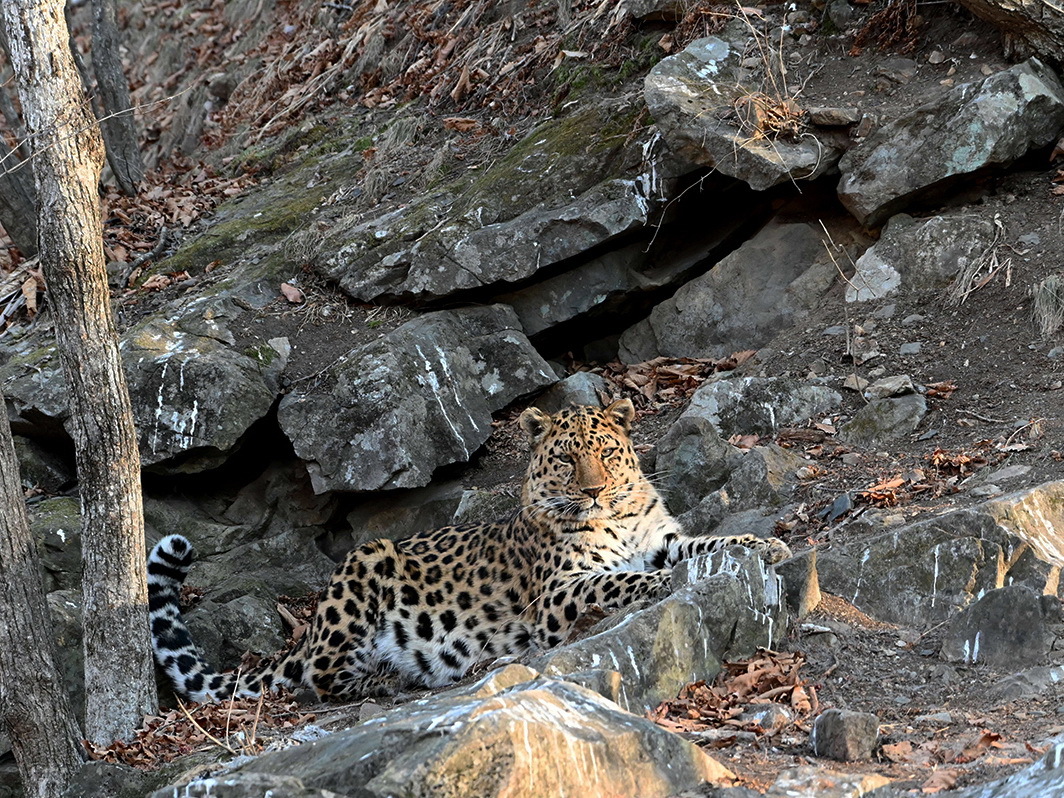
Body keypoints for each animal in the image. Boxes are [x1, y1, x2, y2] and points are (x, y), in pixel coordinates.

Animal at [147, 397, 791, 697]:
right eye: (566, 459)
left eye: (607, 454)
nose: (593, 490)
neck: (619, 517)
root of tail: (304, 633)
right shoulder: (555, 595)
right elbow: (618, 581)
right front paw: (660, 584)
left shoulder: (663, 541)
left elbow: (706, 543)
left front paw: (766, 544)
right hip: (366, 562)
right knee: (321, 677)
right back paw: (387, 681)